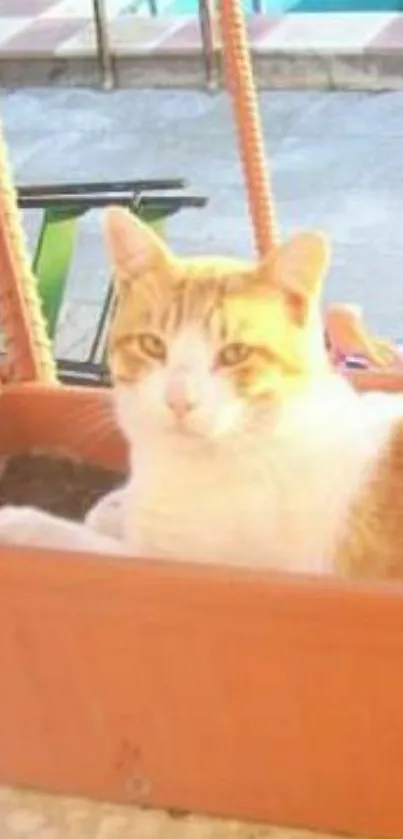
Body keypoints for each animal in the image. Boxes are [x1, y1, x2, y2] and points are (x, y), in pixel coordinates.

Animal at [0, 206, 403, 580]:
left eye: (235, 354)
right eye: (152, 345)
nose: (179, 400)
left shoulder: (161, 563)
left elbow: (72, 540)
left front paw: (18, 522)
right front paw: (116, 506)